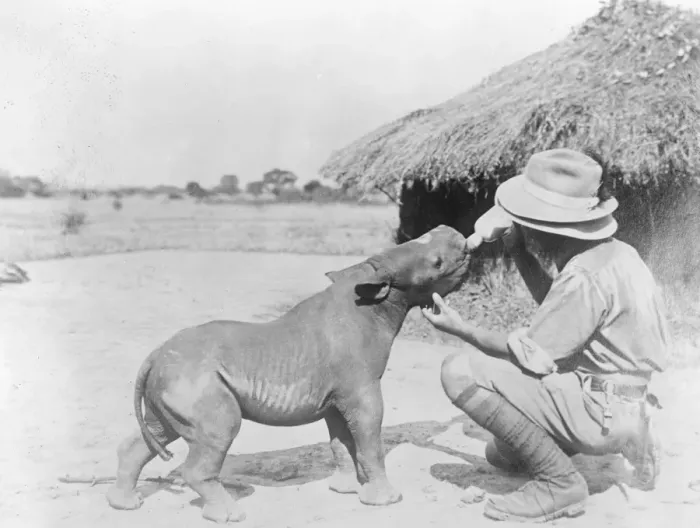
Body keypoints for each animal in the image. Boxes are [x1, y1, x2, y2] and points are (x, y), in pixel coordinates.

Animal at [107, 225, 472, 523]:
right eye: (438, 263)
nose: (457, 233)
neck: (378, 299)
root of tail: (153, 356)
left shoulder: (338, 395)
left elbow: (341, 441)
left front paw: (344, 491)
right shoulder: (362, 388)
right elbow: (369, 437)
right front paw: (386, 501)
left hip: (172, 378)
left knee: (160, 430)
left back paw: (126, 505)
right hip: (193, 378)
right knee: (219, 429)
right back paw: (230, 515)